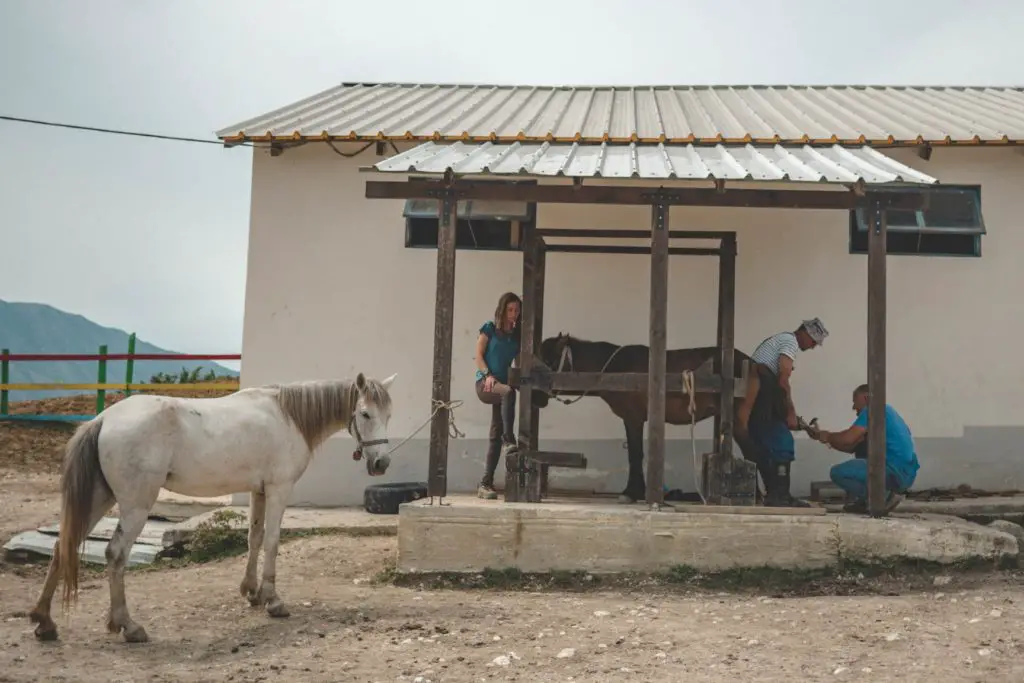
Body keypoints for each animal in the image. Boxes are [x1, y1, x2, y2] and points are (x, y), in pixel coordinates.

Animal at [28, 370, 395, 643]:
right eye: (365, 413)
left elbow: (254, 538)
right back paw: (128, 626)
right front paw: (273, 601)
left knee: (63, 545)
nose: (381, 464)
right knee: (115, 554)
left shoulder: (259, 491)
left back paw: (44, 621)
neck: (288, 416)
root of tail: (103, 419)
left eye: (389, 415)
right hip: (135, 505)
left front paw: (252, 592)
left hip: (100, 498)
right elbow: (273, 541)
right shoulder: (279, 489)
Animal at [536, 333, 761, 505]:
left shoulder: (633, 418)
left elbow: (635, 454)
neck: (618, 372)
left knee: (753, 452)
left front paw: (631, 493)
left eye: (547, 361)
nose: (538, 397)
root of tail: (751, 363)